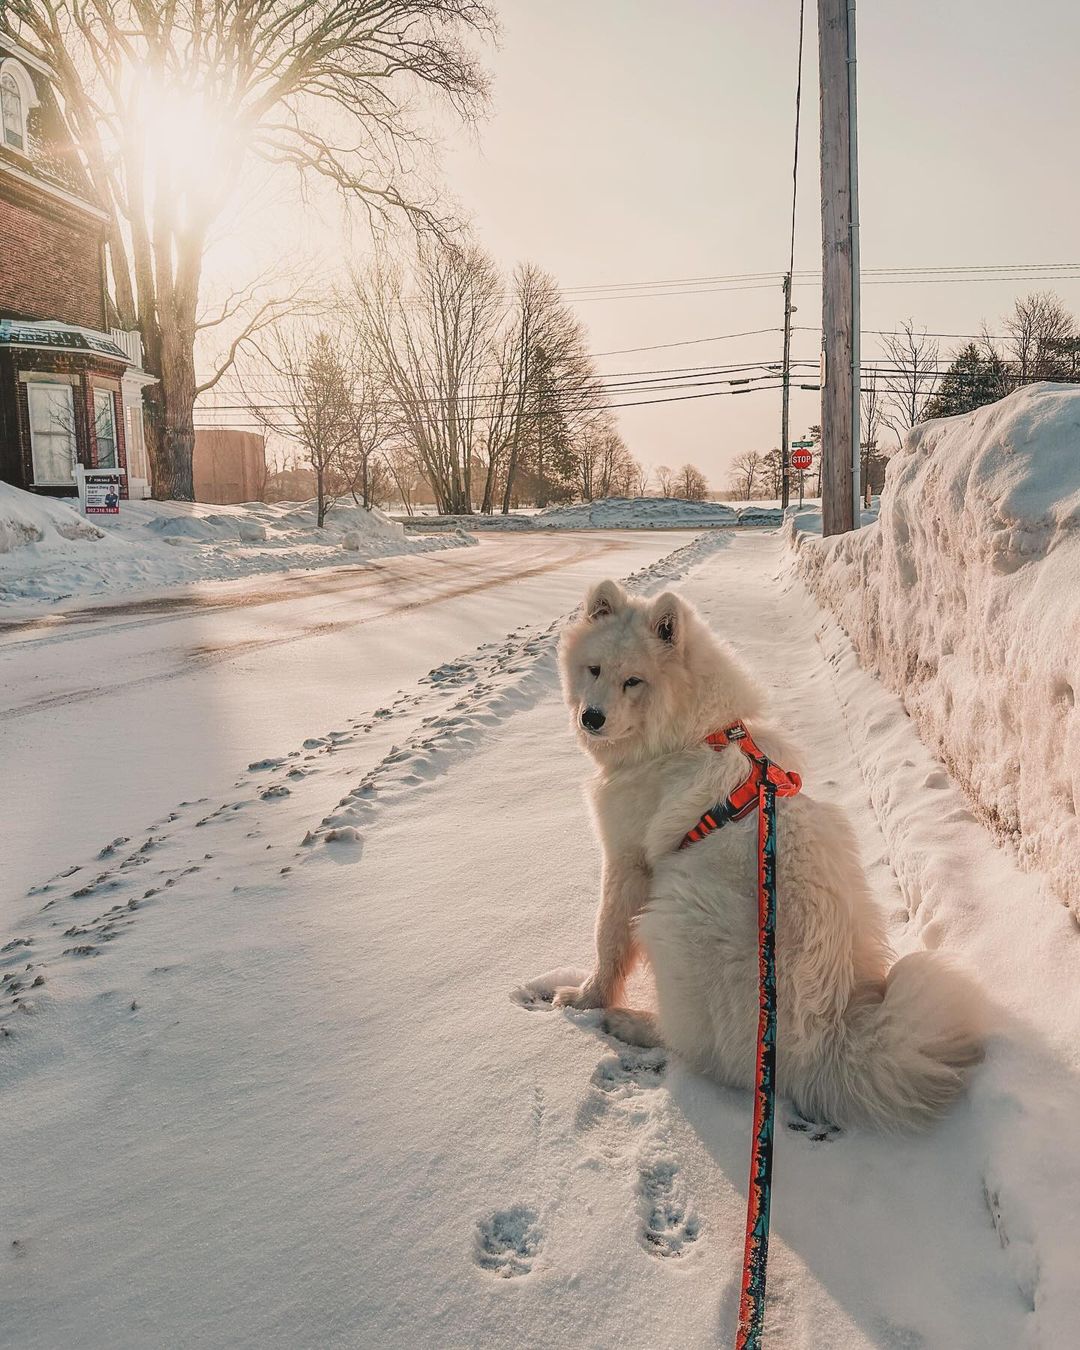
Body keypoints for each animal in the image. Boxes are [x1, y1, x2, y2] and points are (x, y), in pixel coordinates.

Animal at [553, 580, 982, 1128]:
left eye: (634, 681)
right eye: (594, 669)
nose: (591, 717)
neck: (692, 734)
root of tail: (823, 1044)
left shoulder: (626, 859)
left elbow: (607, 938)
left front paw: (586, 999)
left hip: (675, 912)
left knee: (699, 1050)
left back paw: (630, 1023)